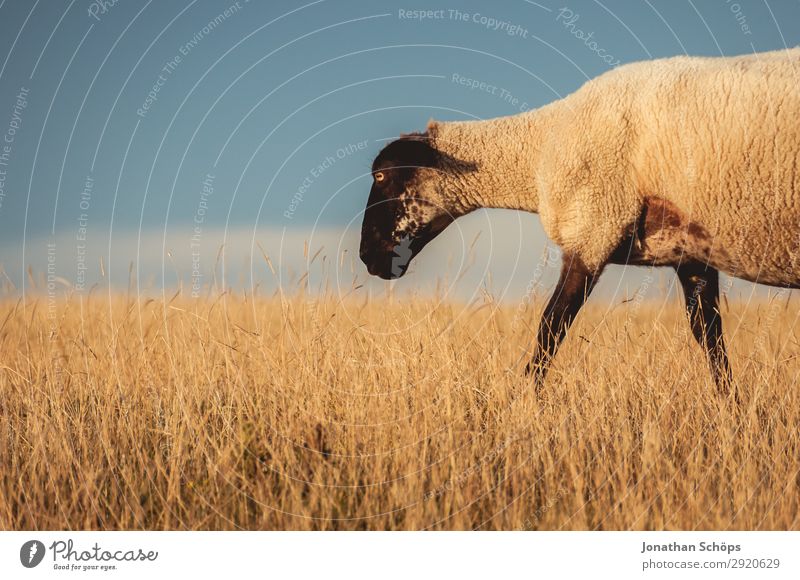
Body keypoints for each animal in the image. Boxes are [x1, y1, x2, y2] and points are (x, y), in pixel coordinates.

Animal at [360, 48, 800, 398]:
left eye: (381, 176)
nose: (367, 257)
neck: (540, 148)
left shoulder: (591, 230)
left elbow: (550, 328)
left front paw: (524, 406)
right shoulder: (691, 250)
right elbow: (709, 337)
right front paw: (731, 408)